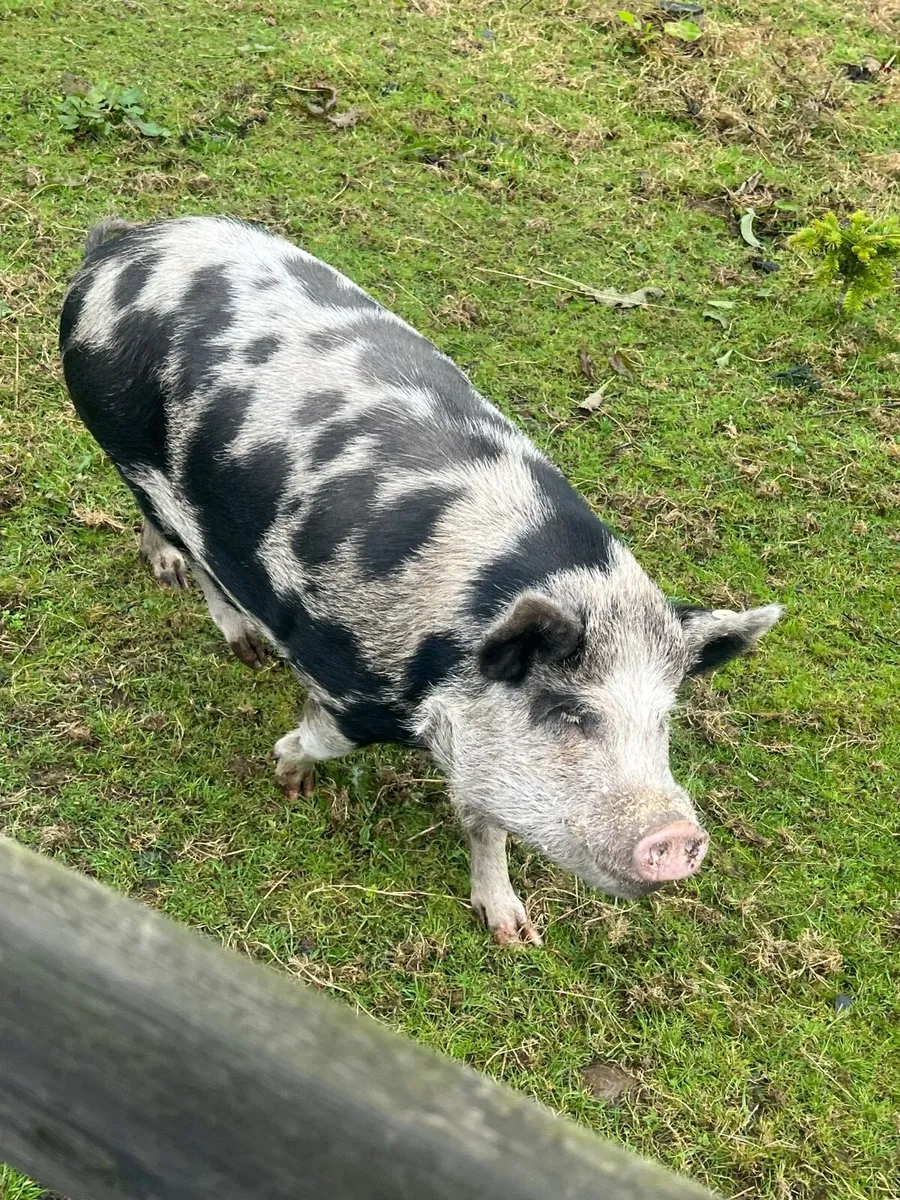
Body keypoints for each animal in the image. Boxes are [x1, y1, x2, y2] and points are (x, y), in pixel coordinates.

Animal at [60, 216, 781, 945]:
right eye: (568, 713)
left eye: (662, 722)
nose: (679, 838)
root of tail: (123, 246)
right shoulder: (345, 684)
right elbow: (319, 740)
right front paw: (288, 776)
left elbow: (486, 822)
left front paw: (513, 932)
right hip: (127, 450)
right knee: (186, 547)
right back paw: (225, 625)